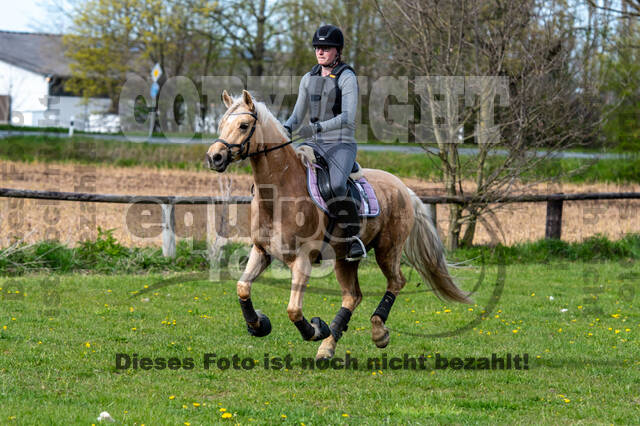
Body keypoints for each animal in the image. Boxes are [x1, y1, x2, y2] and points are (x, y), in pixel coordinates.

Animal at [205, 90, 470, 360]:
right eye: (221, 124)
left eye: (243, 125)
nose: (214, 157)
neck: (280, 193)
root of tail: (403, 187)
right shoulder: (262, 251)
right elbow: (242, 287)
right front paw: (259, 324)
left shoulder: (303, 259)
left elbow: (293, 310)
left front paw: (315, 329)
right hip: (344, 259)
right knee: (352, 296)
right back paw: (328, 346)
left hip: (388, 249)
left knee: (396, 282)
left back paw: (377, 333)